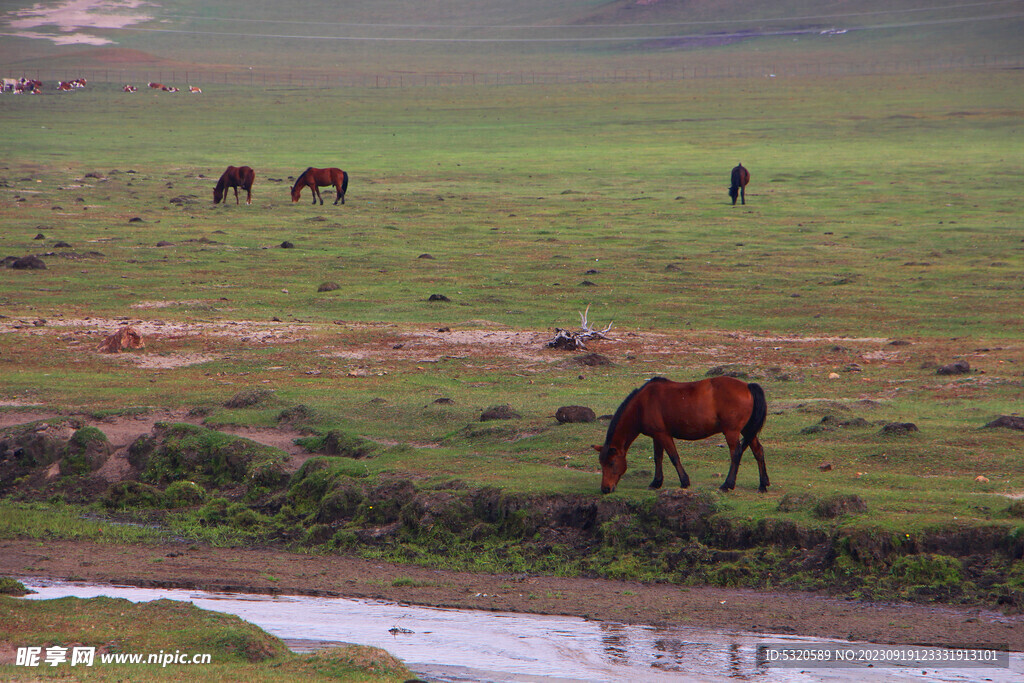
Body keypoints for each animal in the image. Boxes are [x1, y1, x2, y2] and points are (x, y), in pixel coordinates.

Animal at [593, 376, 770, 493]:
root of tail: (747, 386)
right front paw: (656, 482)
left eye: (611, 463)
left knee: (736, 454)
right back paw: (763, 484)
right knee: (758, 451)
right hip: (747, 430)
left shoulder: (663, 435)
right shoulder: (657, 436)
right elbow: (658, 458)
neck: (641, 405)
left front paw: (684, 481)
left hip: (731, 432)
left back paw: (727, 484)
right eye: (601, 464)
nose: (605, 489)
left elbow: (673, 457)